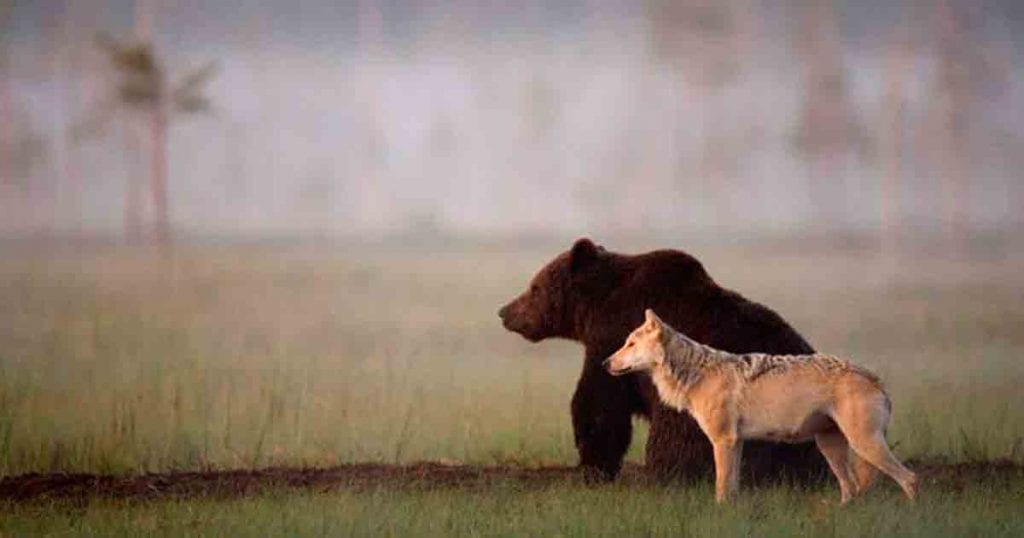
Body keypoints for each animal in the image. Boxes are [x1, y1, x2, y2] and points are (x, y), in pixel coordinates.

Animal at [498, 237, 828, 483]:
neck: (596, 307)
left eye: (535, 287)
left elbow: (599, 404)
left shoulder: (611, 339)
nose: (505, 311)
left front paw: (593, 466)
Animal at [604, 309, 918, 504]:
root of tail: (874, 378)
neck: (696, 374)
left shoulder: (723, 441)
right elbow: (732, 487)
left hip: (863, 445)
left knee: (910, 479)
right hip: (831, 447)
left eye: (630, 344)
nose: (605, 363)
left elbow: (721, 487)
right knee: (851, 489)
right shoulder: (736, 442)